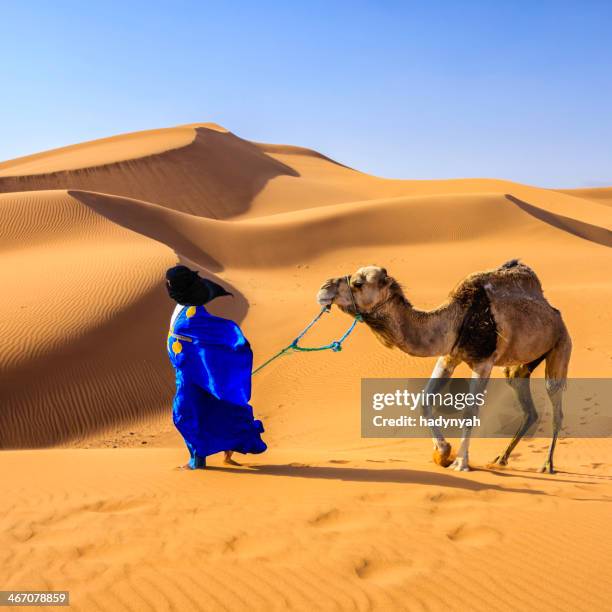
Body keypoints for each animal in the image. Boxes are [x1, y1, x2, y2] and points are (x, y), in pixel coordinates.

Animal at [318, 260, 572, 474]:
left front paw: (460, 462)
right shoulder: (449, 356)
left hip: (561, 345)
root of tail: (556, 315)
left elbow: (470, 411)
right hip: (521, 364)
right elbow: (424, 400)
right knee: (525, 398)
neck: (457, 317)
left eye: (358, 283)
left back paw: (547, 465)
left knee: (556, 402)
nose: (323, 289)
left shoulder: (483, 362)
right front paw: (442, 453)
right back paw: (501, 458)